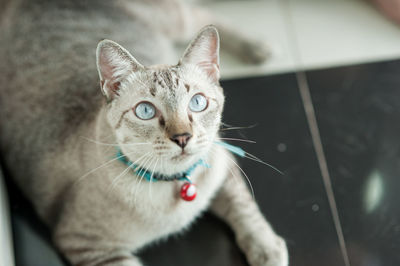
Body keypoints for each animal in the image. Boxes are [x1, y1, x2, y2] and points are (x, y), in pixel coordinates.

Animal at [0, 0, 288, 266]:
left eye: (197, 102)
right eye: (146, 111)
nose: (182, 137)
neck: (175, 183)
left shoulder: (222, 163)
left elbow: (245, 210)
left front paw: (267, 251)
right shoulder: (90, 247)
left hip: (174, 20)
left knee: (202, 15)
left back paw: (257, 48)